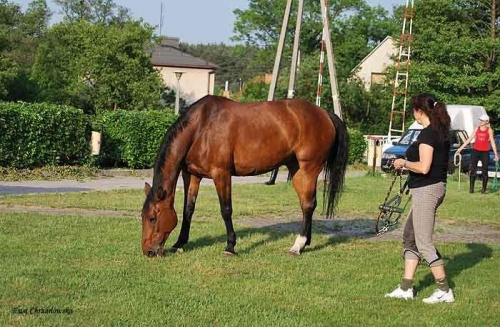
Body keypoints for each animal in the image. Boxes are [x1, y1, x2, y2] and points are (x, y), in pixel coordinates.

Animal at [141, 96, 348, 258]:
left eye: (152, 218)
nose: (148, 251)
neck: (201, 127)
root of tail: (325, 114)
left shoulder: (221, 174)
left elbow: (226, 210)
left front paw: (230, 246)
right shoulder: (192, 175)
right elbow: (188, 210)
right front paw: (179, 244)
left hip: (308, 169)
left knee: (308, 205)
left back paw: (297, 246)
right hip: (296, 170)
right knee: (306, 205)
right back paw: (306, 243)